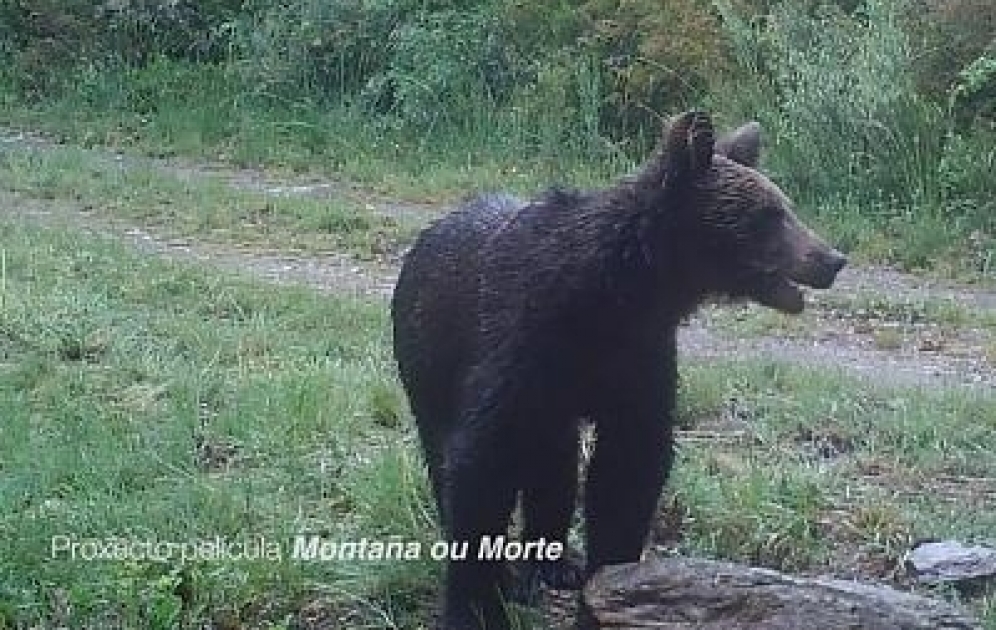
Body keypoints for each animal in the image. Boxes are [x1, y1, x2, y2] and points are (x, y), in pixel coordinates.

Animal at [390, 111, 847, 630]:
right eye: (768, 215)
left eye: (785, 206)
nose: (832, 258)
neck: (615, 296)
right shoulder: (519, 347)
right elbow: (481, 466)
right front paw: (478, 604)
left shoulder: (637, 359)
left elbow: (628, 470)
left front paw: (610, 589)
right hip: (427, 364)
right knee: (444, 448)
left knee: (554, 460)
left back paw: (551, 563)